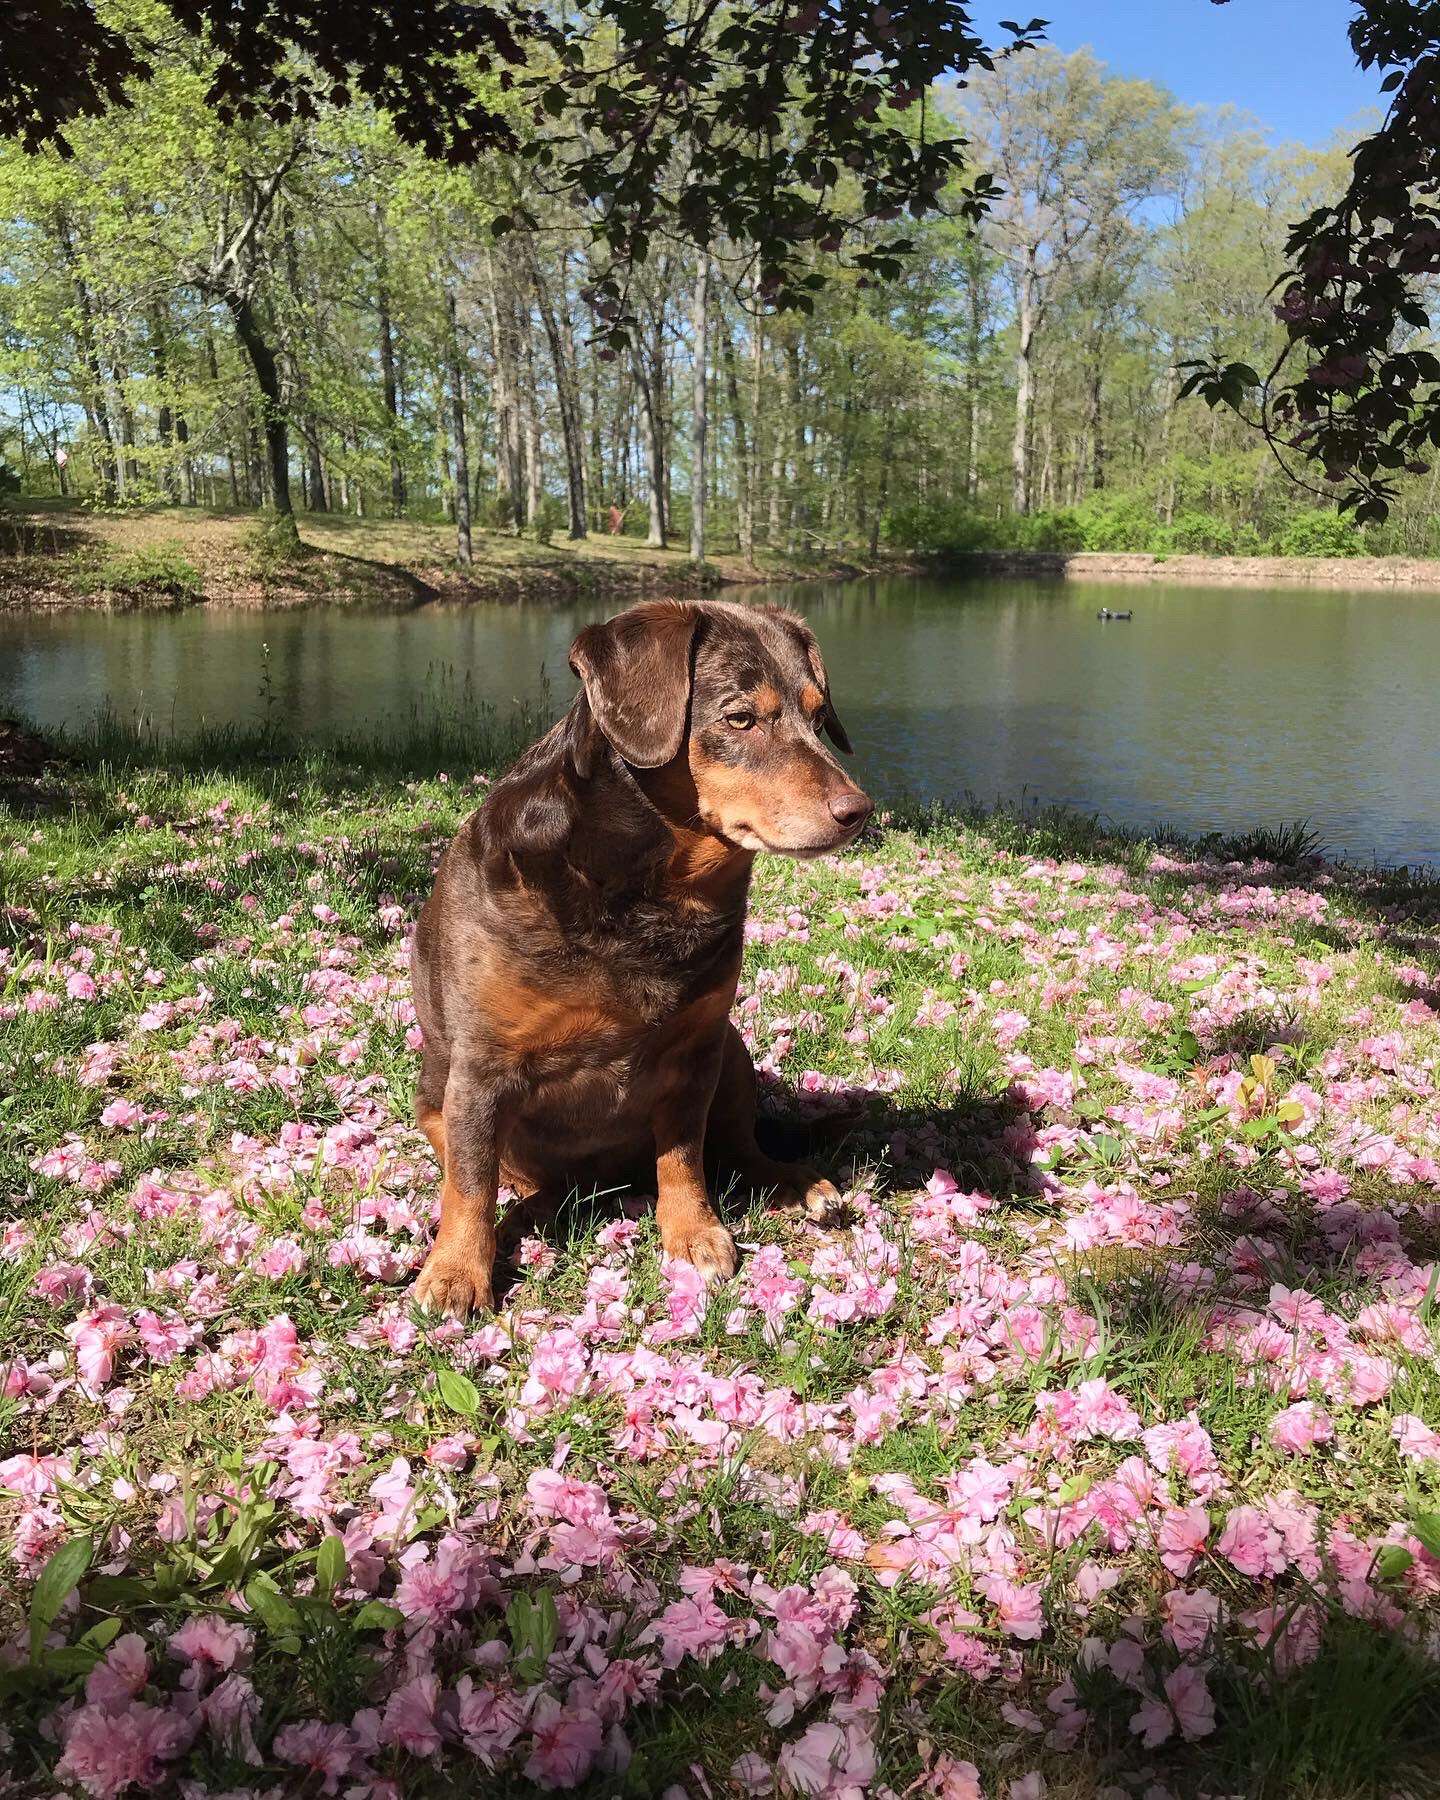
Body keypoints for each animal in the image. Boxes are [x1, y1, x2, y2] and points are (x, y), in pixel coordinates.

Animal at [410, 597, 871, 1317]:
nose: (859, 810)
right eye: (741, 718)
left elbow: (683, 1154)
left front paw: (694, 1231)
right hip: (436, 1101)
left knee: (739, 1146)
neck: (651, 891)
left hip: (734, 1053)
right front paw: (458, 1269)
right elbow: (471, 1181)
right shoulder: (482, 1068)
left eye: (820, 719)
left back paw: (792, 1181)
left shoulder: (695, 1051)